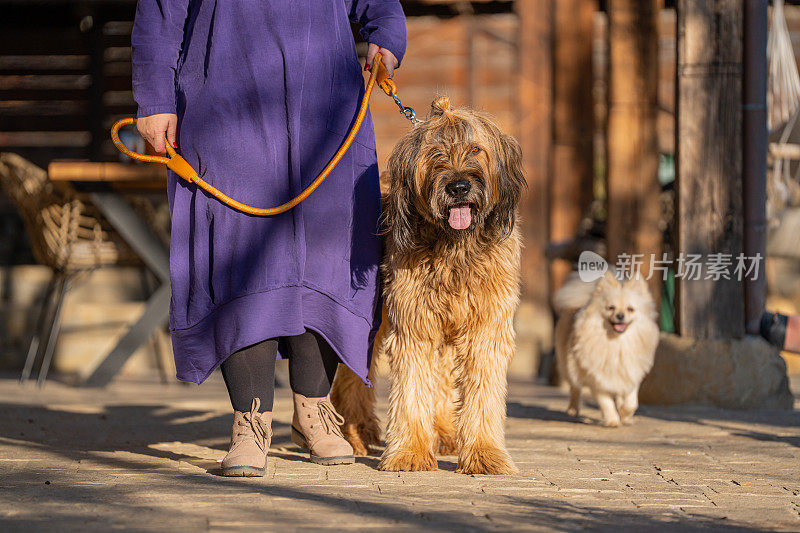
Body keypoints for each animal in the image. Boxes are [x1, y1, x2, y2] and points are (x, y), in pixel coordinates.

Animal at [552, 272, 660, 426]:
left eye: (630, 309)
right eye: (611, 308)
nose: (620, 315)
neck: (616, 343)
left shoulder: (631, 373)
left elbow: (631, 401)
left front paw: (625, 415)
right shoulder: (597, 378)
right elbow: (606, 402)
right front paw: (613, 420)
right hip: (569, 367)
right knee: (575, 388)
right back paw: (573, 409)